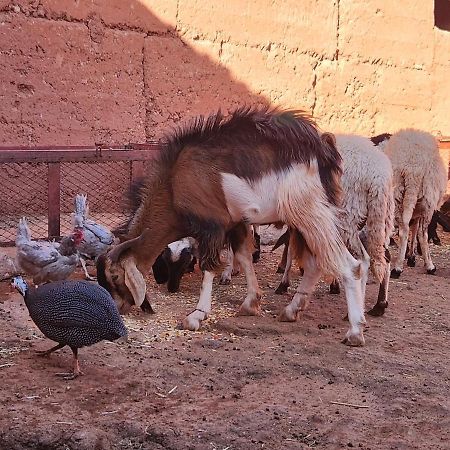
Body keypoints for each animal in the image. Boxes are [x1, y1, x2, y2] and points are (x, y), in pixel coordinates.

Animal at [96, 107, 368, 346]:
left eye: (115, 276)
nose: (119, 307)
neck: (174, 184)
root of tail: (323, 150)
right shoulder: (236, 223)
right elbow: (244, 257)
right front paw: (250, 303)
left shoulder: (212, 225)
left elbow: (208, 268)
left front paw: (196, 316)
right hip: (304, 222)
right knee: (314, 264)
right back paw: (292, 311)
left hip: (311, 214)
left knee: (351, 265)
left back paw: (354, 331)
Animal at [382, 130, 448, 276]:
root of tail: (412, 168)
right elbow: (416, 230)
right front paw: (412, 257)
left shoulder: (416, 209)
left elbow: (413, 227)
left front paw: (410, 256)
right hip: (427, 200)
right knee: (422, 233)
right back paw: (429, 266)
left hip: (397, 194)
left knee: (404, 229)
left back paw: (397, 265)